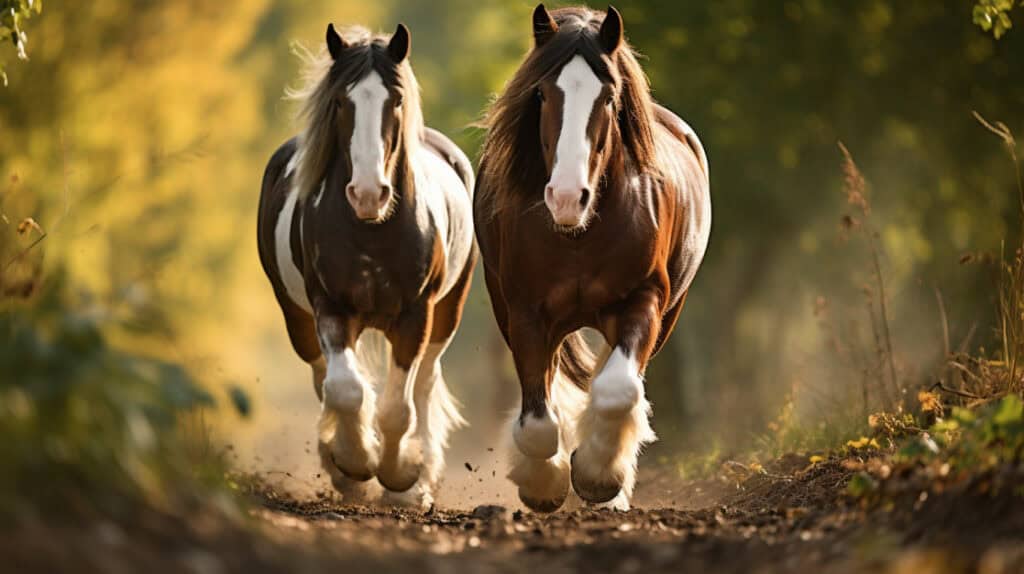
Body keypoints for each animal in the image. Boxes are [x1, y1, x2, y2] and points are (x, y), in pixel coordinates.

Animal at [257, 23, 476, 508]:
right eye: (341, 101)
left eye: (396, 100)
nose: (369, 194)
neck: (372, 231)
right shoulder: (330, 308)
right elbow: (346, 391)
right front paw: (356, 465)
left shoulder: (417, 313)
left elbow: (397, 410)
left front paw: (401, 477)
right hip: (296, 314)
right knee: (325, 379)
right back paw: (344, 469)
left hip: (447, 313)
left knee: (425, 383)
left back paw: (420, 479)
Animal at [474, 4, 711, 512]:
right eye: (542, 92)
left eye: (608, 96)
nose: (567, 198)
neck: (578, 236)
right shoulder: (526, 312)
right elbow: (538, 420)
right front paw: (545, 484)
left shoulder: (643, 300)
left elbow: (617, 391)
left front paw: (599, 478)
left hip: (667, 314)